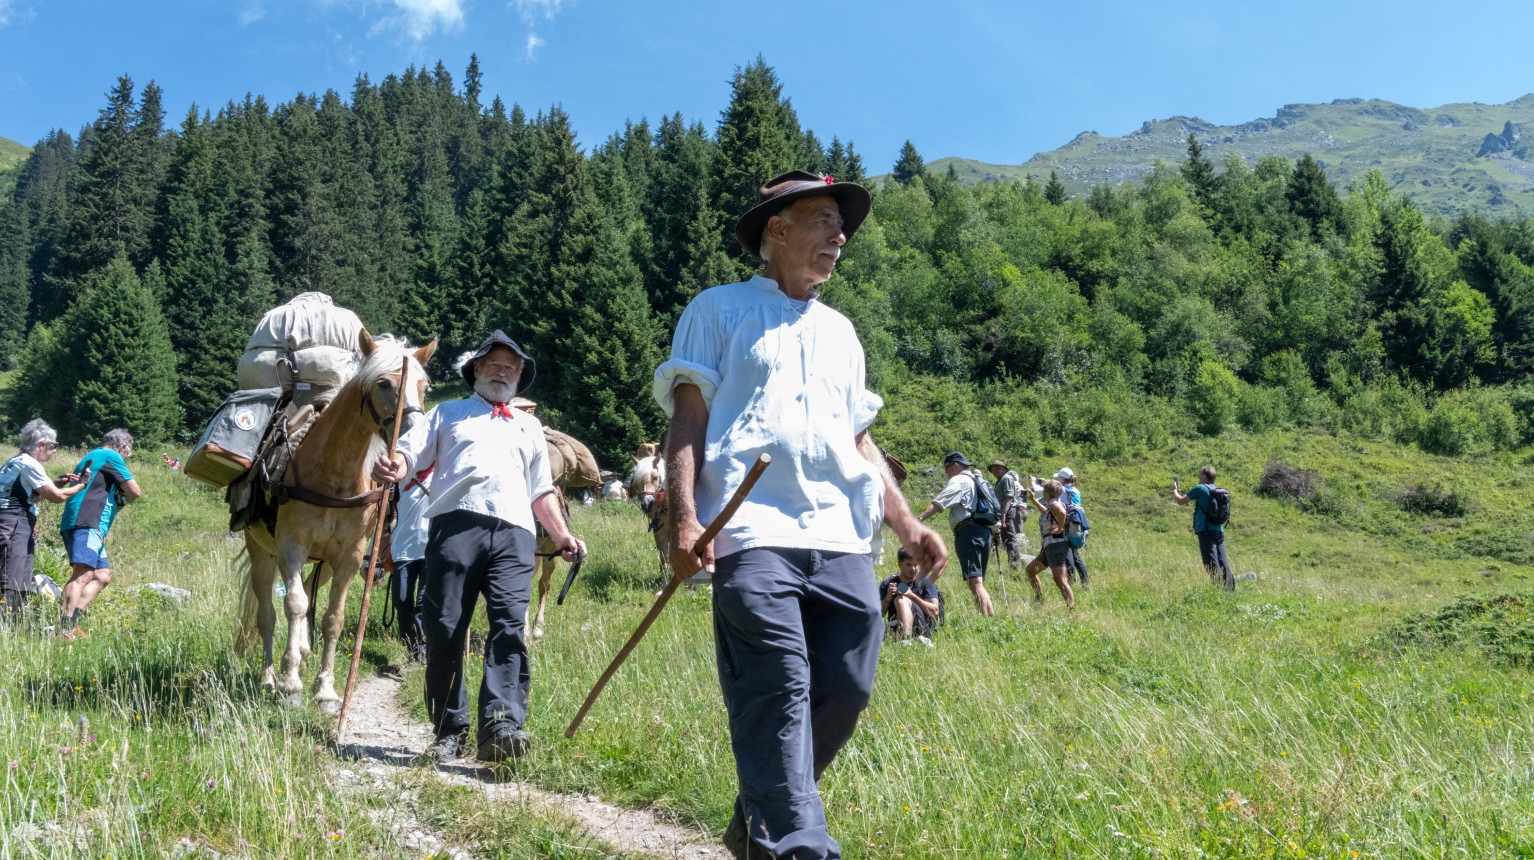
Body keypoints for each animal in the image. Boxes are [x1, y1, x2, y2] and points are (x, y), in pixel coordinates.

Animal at [236, 328, 438, 711]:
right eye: (384, 384)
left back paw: (301, 655)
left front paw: (326, 690)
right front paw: (290, 685)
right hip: (262, 553)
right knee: (269, 613)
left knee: (309, 597)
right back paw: (270, 679)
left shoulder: (349, 556)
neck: (333, 473)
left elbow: (333, 618)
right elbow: (293, 605)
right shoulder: (291, 548)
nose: (412, 435)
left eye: (424, 386)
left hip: (324, 563)